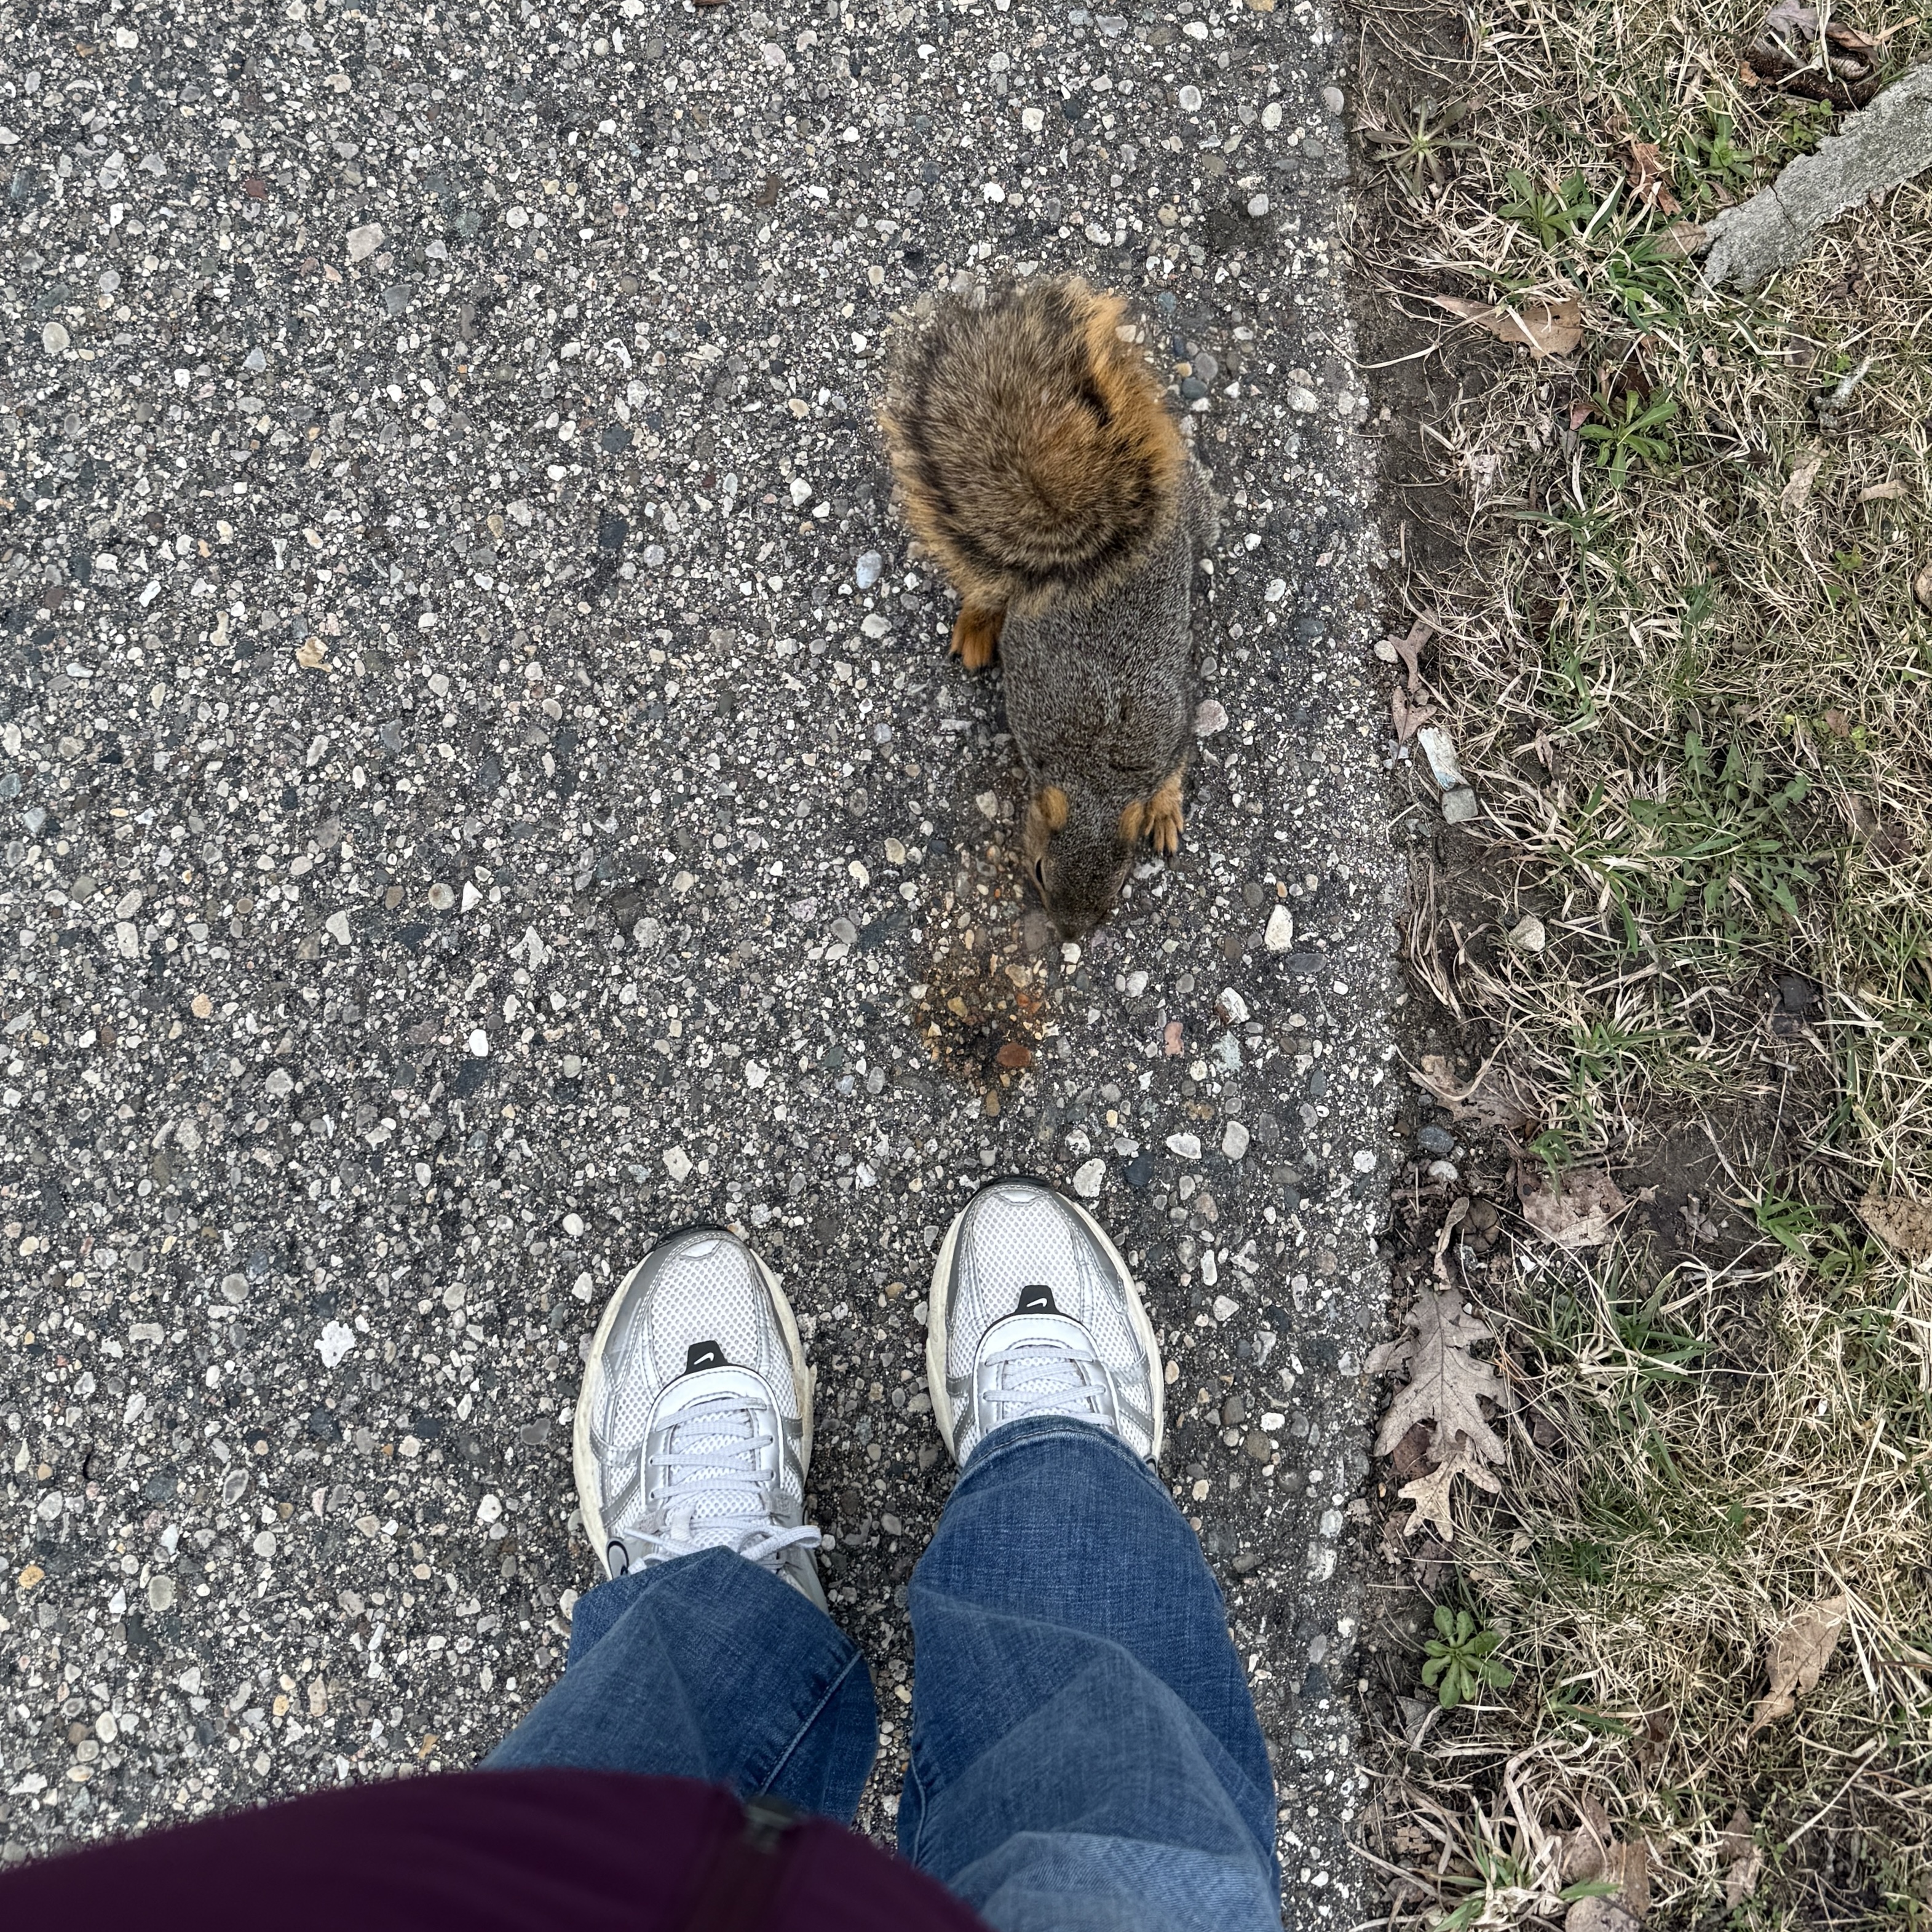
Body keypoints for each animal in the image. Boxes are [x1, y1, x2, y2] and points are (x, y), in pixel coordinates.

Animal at [880, 275, 1217, 939]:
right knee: (991, 591)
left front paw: (1164, 812)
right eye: (1037, 871)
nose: (1069, 934)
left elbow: (1173, 772)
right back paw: (977, 627)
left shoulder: (1172, 730)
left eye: (1117, 887)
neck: (1099, 770)